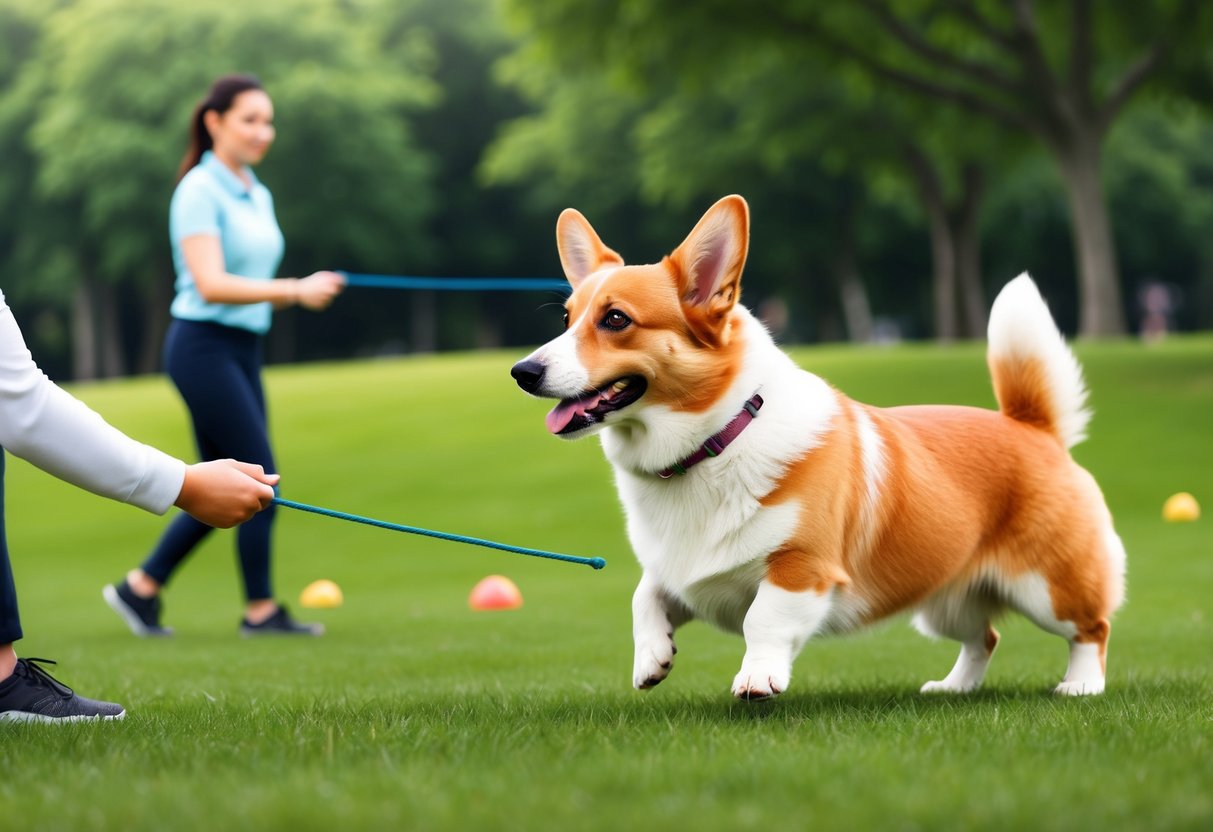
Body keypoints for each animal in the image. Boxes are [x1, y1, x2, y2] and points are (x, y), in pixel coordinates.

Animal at [511, 198, 1125, 698]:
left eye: (616, 320)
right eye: (566, 319)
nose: (523, 371)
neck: (713, 444)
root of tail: (1033, 426)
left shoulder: (801, 567)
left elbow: (762, 620)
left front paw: (758, 678)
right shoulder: (686, 574)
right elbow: (645, 594)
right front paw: (652, 658)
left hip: (1046, 587)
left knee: (1091, 628)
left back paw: (1080, 686)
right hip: (943, 600)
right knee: (985, 636)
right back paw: (954, 687)